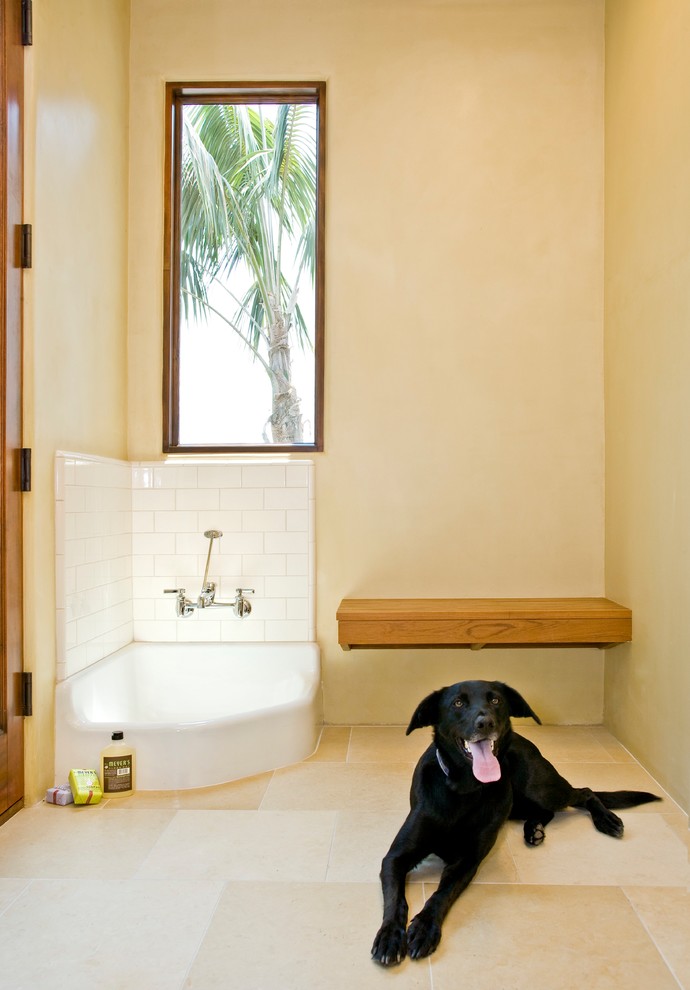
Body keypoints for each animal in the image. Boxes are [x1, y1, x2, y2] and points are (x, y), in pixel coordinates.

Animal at [370, 680, 660, 968]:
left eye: (496, 700)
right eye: (458, 703)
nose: (485, 723)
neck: (463, 789)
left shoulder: (467, 861)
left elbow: (441, 895)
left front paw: (424, 928)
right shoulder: (395, 857)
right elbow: (395, 899)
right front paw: (390, 936)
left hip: (539, 787)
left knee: (584, 792)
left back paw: (606, 820)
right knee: (549, 811)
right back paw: (535, 830)